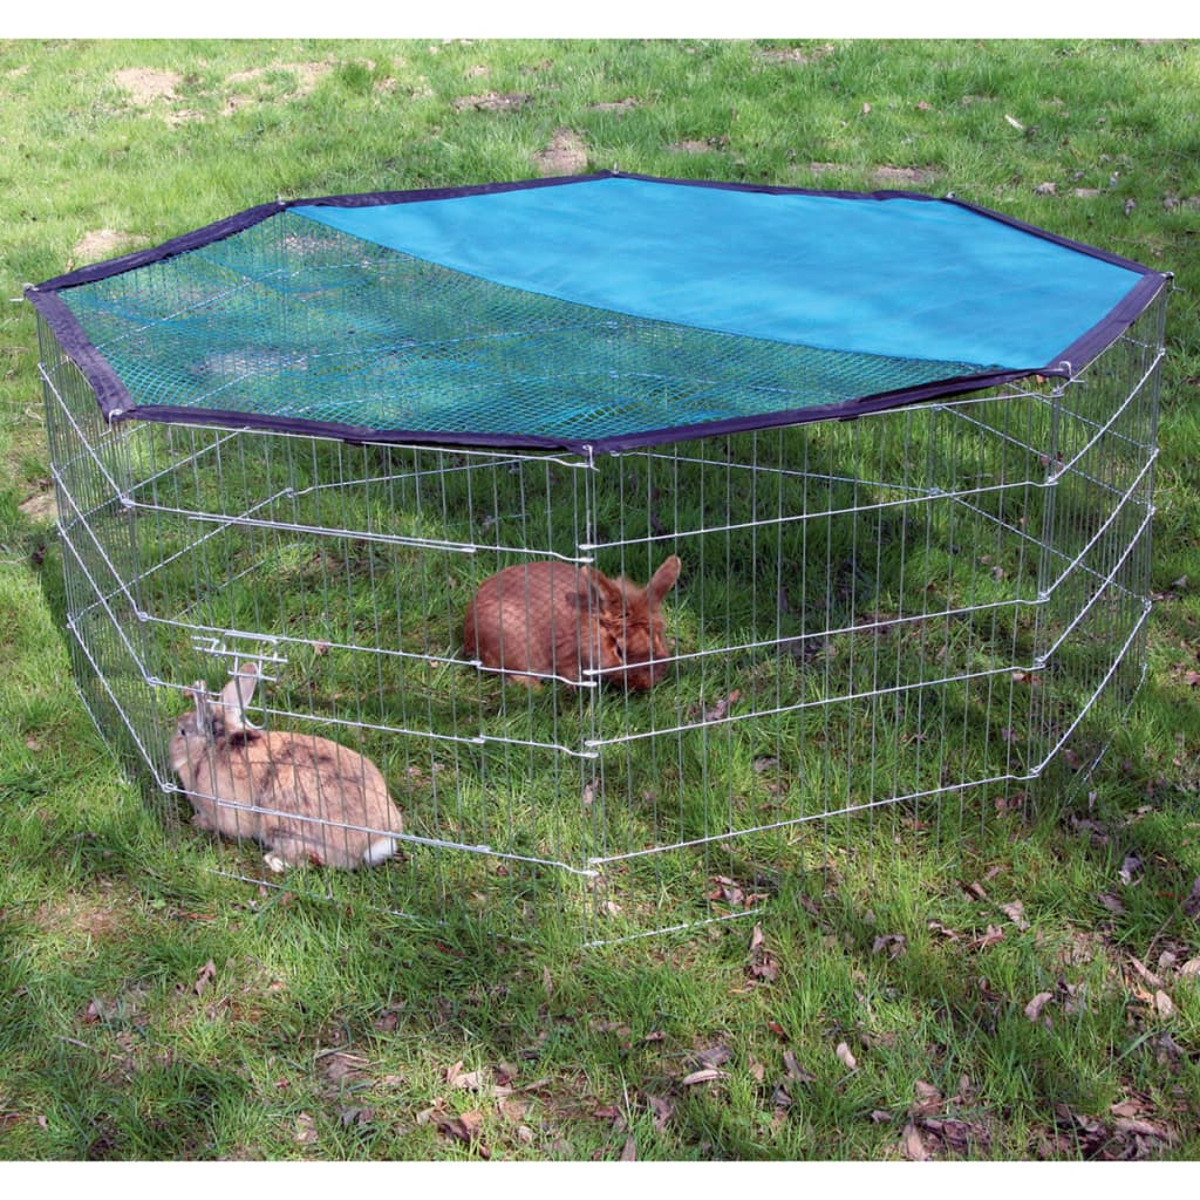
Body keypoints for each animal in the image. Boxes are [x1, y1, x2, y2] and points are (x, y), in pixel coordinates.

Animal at [168, 661, 404, 872]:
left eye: (182, 732)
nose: (170, 748)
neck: (210, 748)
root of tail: (377, 839)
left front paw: (198, 821)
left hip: (283, 823)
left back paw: (273, 861)